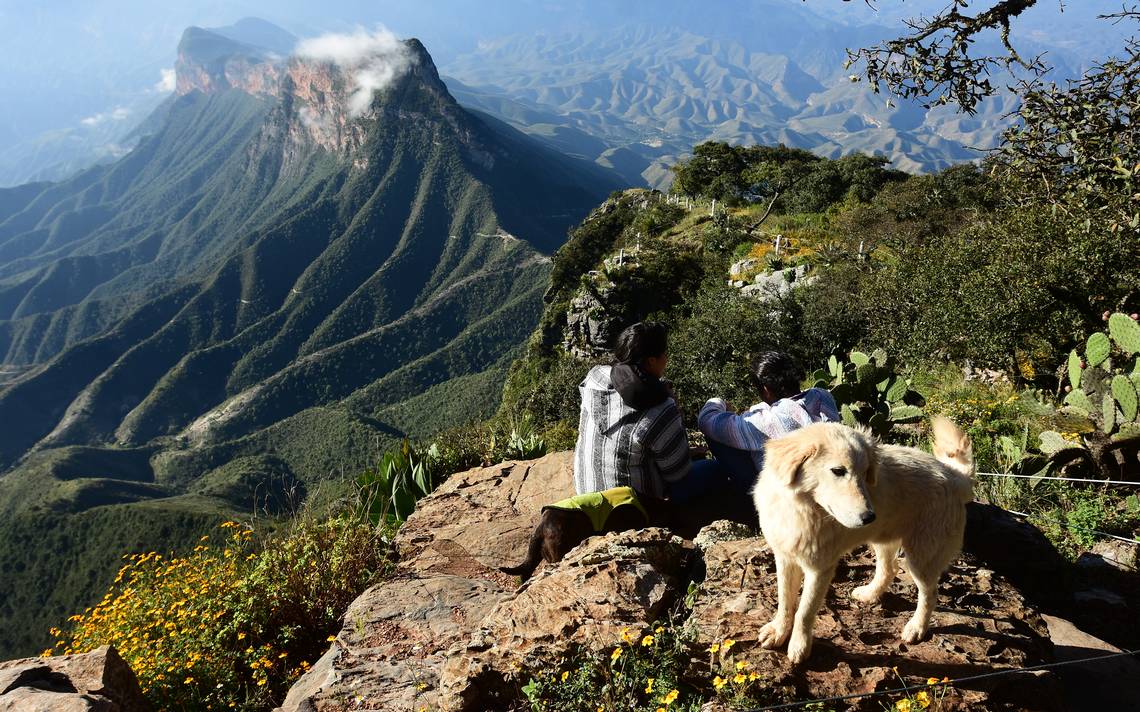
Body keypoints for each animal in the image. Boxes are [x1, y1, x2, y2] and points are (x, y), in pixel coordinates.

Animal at [752, 414, 975, 665]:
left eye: (865, 472)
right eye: (838, 471)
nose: (870, 517)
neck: (803, 509)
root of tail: (954, 476)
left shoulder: (820, 568)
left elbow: (805, 610)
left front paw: (799, 646)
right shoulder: (785, 558)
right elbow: (785, 601)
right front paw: (778, 631)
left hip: (922, 557)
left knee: (930, 593)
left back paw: (916, 628)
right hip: (884, 540)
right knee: (889, 570)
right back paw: (870, 595)